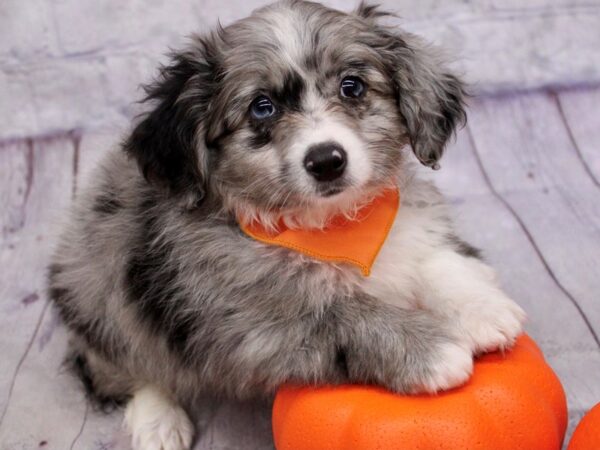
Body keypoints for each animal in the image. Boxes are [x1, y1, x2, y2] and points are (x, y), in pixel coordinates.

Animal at [48, 1, 524, 448]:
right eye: (263, 107)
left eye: (352, 86)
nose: (327, 160)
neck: (329, 227)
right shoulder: (252, 319)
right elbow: (342, 311)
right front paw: (428, 349)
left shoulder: (403, 228)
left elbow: (430, 259)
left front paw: (482, 306)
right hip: (98, 281)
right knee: (122, 363)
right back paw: (158, 421)